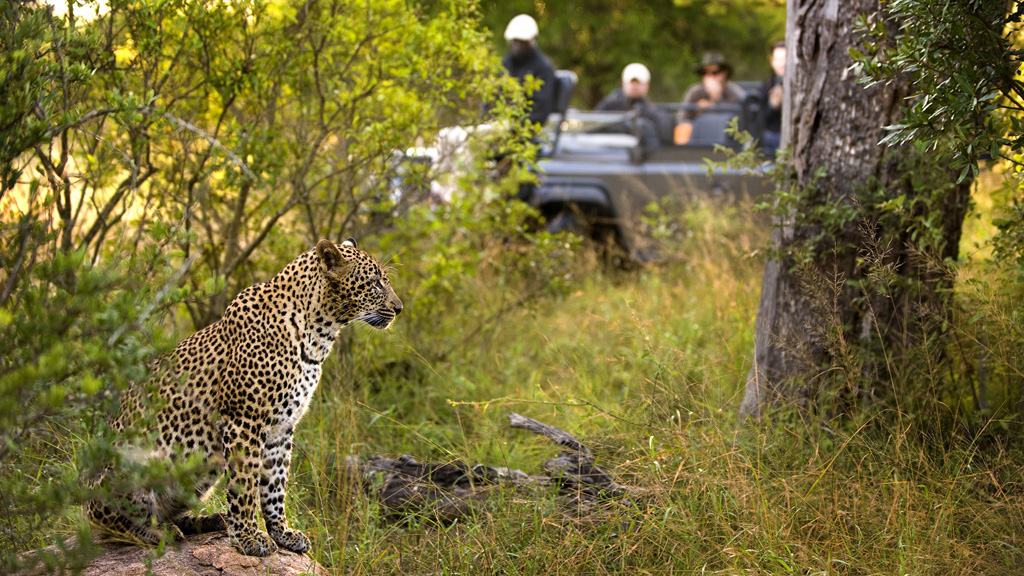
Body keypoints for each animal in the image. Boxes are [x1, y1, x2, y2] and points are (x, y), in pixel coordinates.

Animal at [87, 235, 403, 553]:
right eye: (375, 283)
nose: (399, 308)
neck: (319, 336)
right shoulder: (244, 422)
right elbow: (246, 485)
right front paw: (249, 537)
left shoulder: (281, 429)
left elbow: (275, 485)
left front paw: (282, 533)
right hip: (132, 465)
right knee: (109, 521)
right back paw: (159, 533)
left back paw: (207, 520)